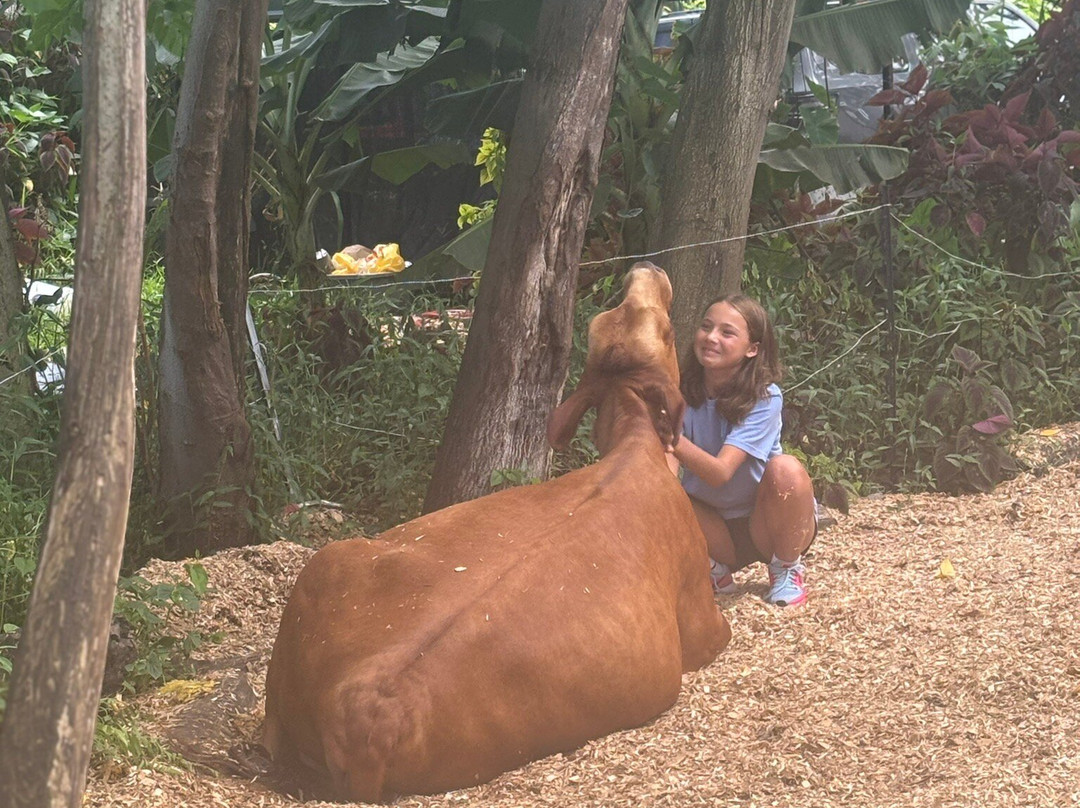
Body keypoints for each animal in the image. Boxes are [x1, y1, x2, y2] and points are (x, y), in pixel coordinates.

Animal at [262, 262, 731, 802]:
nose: (646, 266)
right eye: (669, 331)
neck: (635, 444)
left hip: (323, 562)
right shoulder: (703, 616)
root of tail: (364, 707)